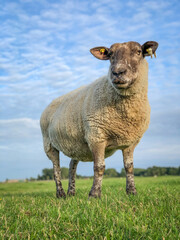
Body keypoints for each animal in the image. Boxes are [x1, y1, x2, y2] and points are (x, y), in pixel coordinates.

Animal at [40, 41, 158, 199]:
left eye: (139, 52)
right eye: (110, 54)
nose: (117, 72)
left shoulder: (130, 142)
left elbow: (129, 167)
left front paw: (132, 192)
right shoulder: (96, 136)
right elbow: (99, 167)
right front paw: (95, 194)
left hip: (76, 144)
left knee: (72, 166)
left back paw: (71, 192)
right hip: (49, 144)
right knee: (56, 169)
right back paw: (61, 193)